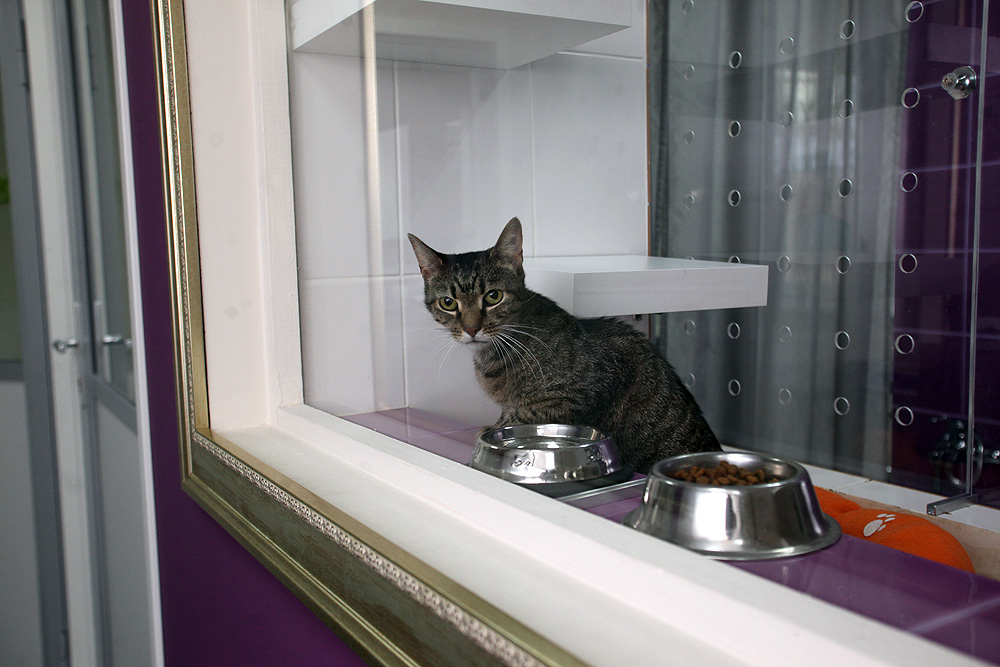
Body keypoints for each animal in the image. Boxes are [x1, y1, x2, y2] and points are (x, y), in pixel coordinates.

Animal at [407, 217, 721, 473]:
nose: (471, 329)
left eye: (493, 296)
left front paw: (494, 427)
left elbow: (524, 414)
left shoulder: (579, 394)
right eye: (448, 303)